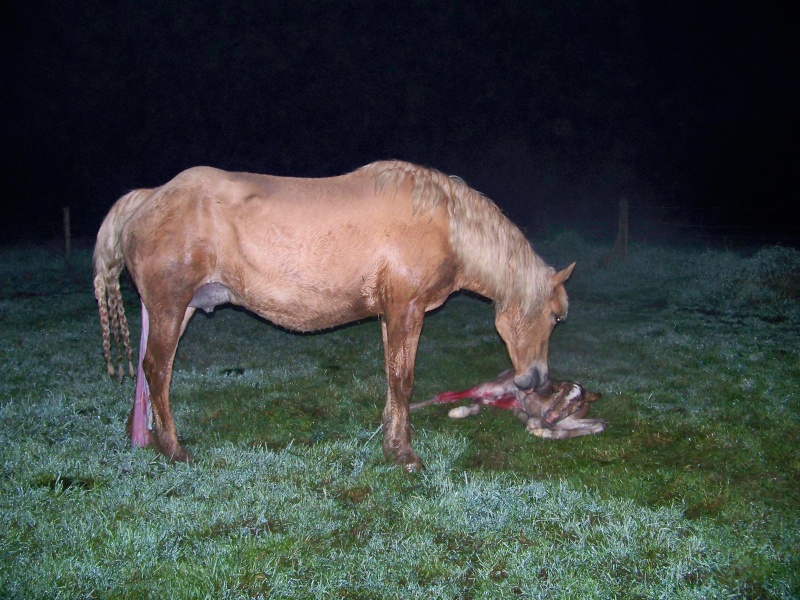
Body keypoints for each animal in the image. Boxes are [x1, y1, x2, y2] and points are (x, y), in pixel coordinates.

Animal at [95, 162, 576, 472]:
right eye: (555, 317)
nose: (538, 381)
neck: (443, 222)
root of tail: (148, 198)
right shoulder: (406, 311)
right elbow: (403, 380)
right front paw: (405, 455)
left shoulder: (390, 315)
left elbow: (391, 380)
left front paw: (390, 441)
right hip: (171, 307)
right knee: (158, 370)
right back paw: (174, 449)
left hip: (171, 310)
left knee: (148, 374)